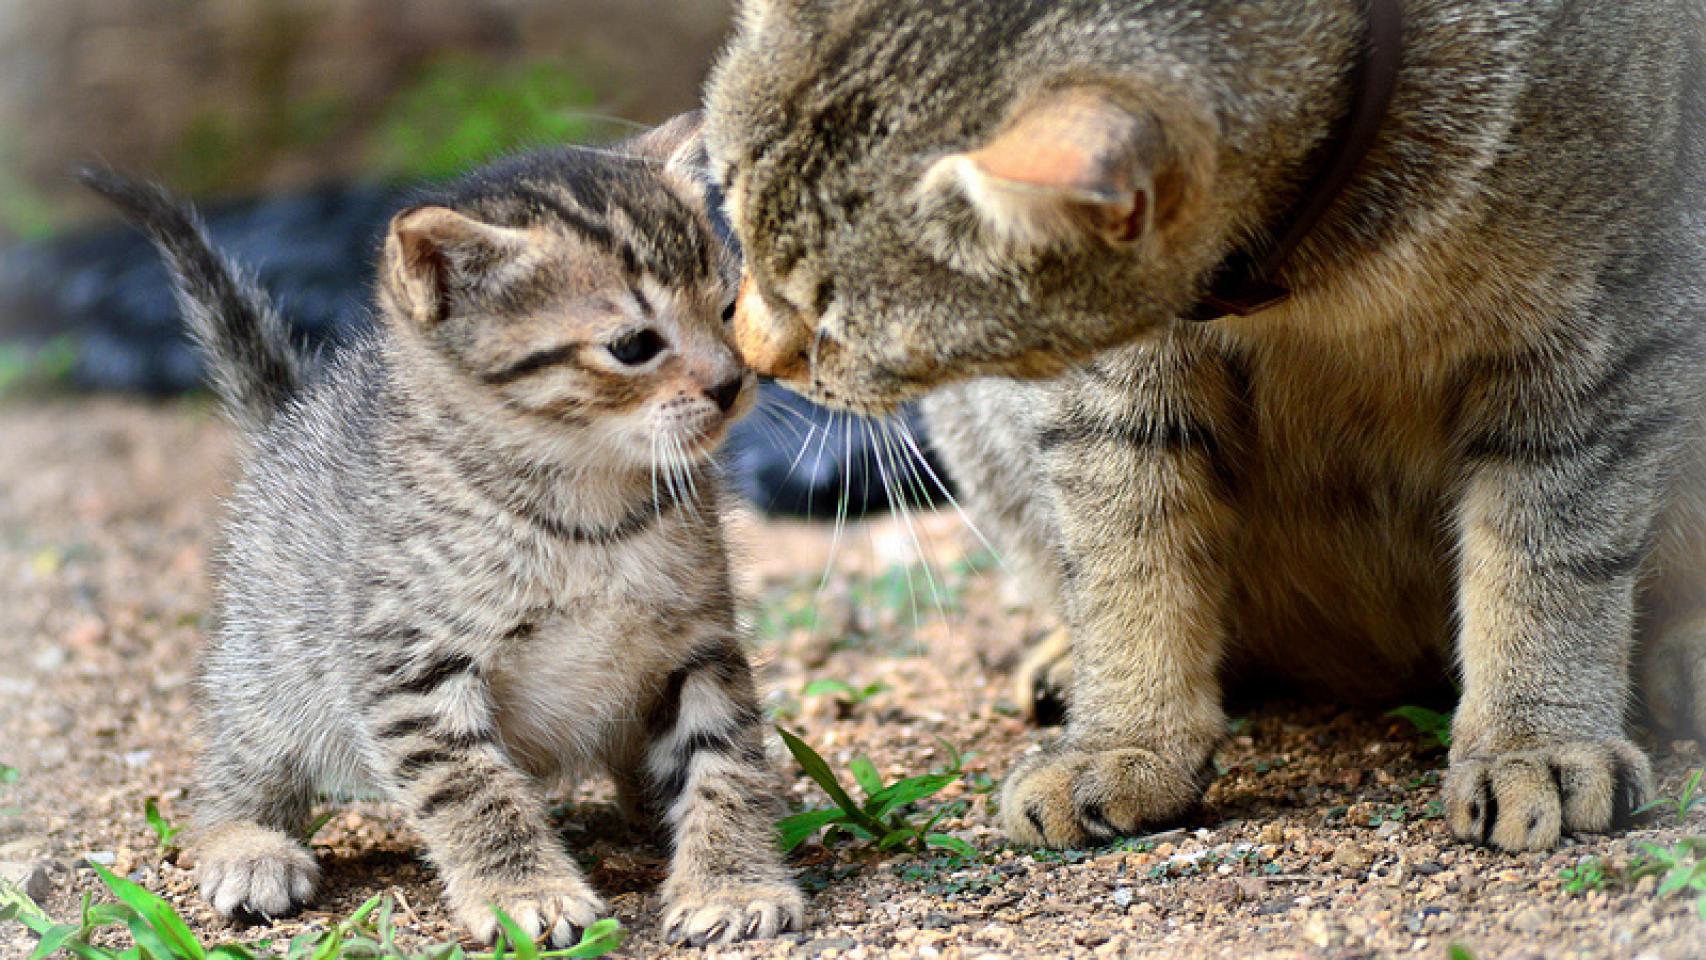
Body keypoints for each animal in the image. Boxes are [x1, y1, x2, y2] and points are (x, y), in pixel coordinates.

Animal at [86, 112, 812, 948]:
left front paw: (733, 878)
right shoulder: (408, 665)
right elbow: (473, 788)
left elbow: (724, 759)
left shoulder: (698, 643)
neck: (588, 508)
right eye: (634, 345)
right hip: (270, 667)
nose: (732, 382)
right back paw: (244, 842)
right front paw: (524, 890)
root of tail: (293, 420)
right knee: (232, 766)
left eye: (728, 311)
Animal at [699, 1, 1699, 855]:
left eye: (835, 324)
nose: (749, 349)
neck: (1318, 272)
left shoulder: (1597, 336)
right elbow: (1128, 558)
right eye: (729, 207)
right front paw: (1126, 740)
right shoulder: (1114, 386)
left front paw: (1536, 740)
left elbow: (1549, 559)